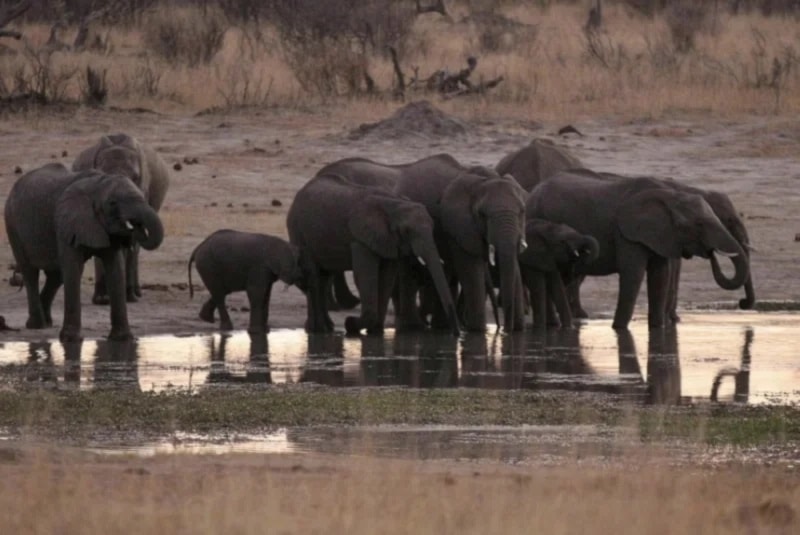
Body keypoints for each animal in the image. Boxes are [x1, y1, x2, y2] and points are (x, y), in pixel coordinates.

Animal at [3, 161, 164, 344]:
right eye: (113, 203)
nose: (136, 228)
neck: (99, 184)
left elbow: (115, 269)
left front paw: (123, 339)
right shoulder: (66, 222)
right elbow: (74, 269)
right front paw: (70, 340)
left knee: (56, 276)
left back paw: (47, 322)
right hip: (12, 224)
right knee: (30, 273)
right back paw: (37, 325)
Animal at [288, 174, 462, 338]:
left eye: (433, 227)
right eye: (407, 231)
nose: (456, 334)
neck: (394, 203)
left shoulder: (389, 239)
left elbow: (386, 277)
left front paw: (375, 332)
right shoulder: (360, 238)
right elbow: (365, 276)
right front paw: (350, 325)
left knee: (325, 277)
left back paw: (325, 328)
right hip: (298, 231)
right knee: (313, 276)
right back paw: (316, 330)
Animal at [528, 172, 748, 330]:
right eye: (699, 224)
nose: (743, 302)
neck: (670, 196)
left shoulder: (661, 235)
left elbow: (660, 276)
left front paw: (658, 328)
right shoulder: (627, 234)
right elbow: (633, 274)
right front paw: (618, 329)